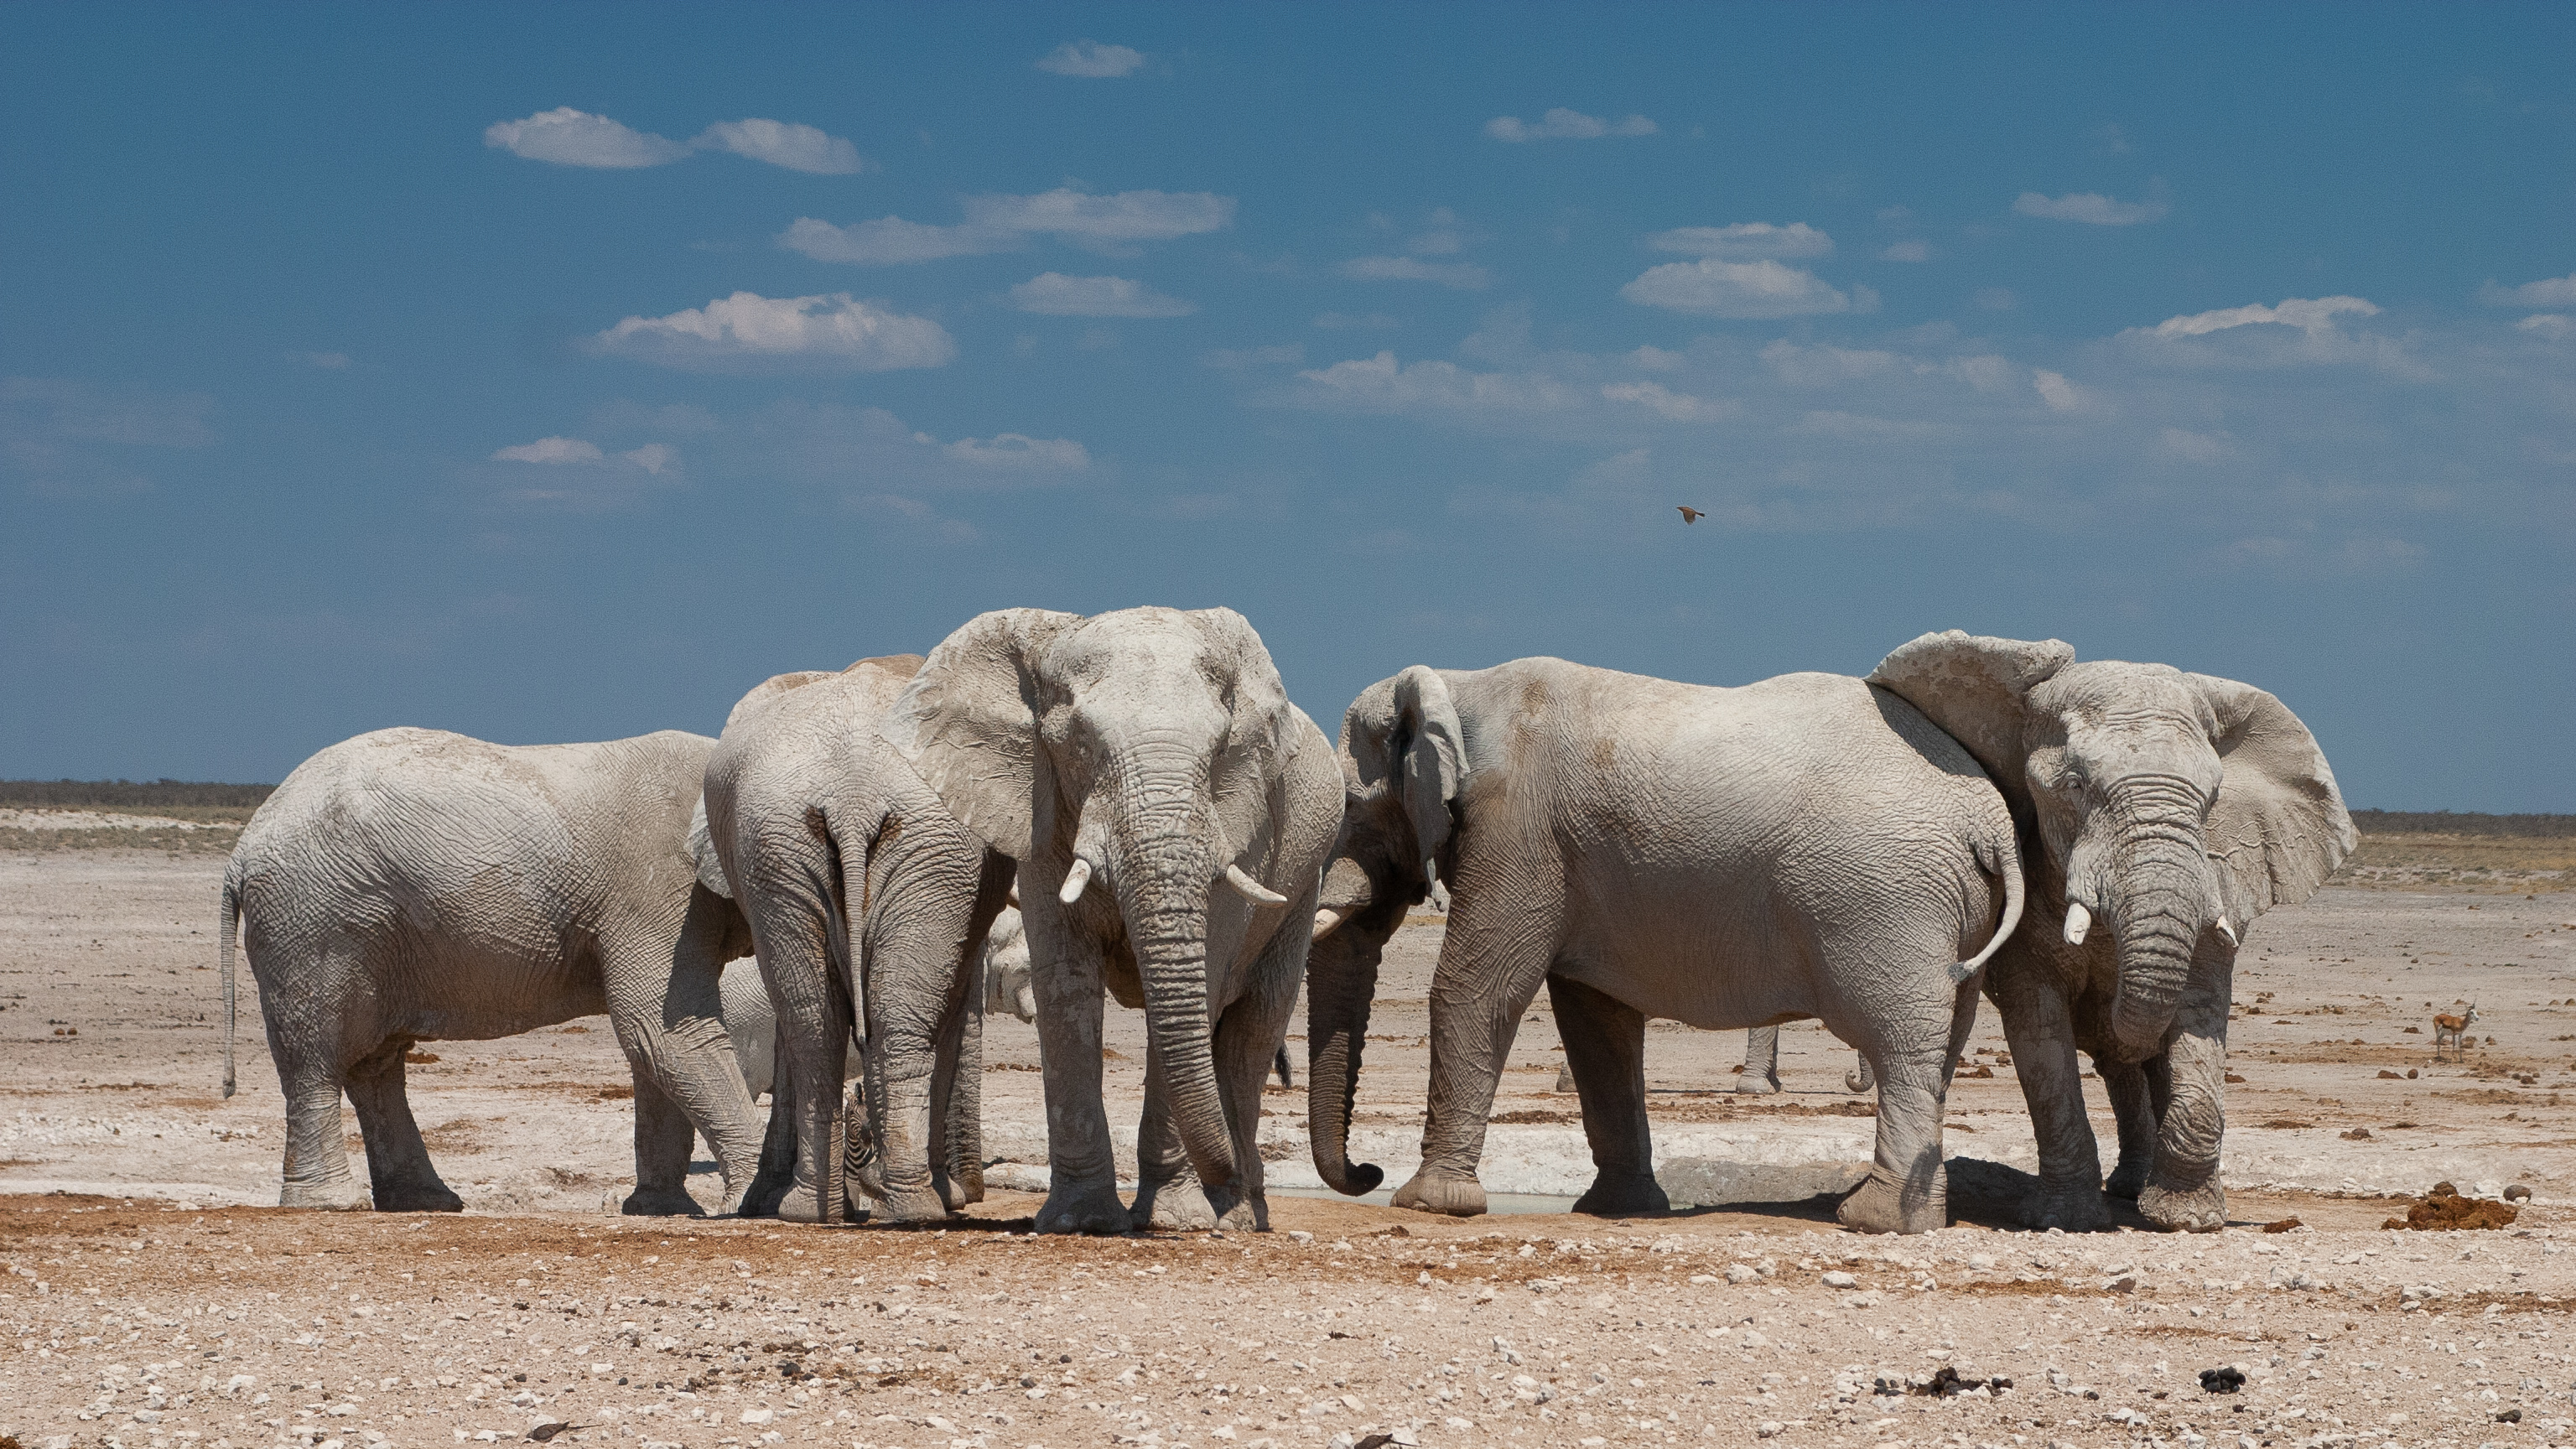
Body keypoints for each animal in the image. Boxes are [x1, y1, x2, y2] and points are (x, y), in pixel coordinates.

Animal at [218, 728, 761, 1214]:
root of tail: (240, 853)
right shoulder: (655, 887)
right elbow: (661, 1030)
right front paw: (746, 1205)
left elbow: (653, 1043)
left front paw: (664, 1210)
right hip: (315, 920)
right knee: (318, 1057)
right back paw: (331, 1204)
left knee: (375, 1062)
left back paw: (425, 1202)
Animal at [696, 655, 1014, 1225]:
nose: (973, 1193)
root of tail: (852, 799)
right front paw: (945, 1197)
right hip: (901, 851)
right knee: (891, 1022)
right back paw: (919, 1206)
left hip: (786, 853)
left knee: (813, 1026)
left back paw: (812, 1210)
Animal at [881, 606, 1344, 1234]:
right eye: (1079, 744)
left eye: (1221, 747)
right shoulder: (1041, 810)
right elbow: (1065, 985)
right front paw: (1082, 1221)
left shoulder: (1243, 827)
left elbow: (1203, 983)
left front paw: (1177, 1220)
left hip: (1302, 882)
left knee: (1254, 1024)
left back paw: (1238, 1214)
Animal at [1305, 658, 2025, 1234]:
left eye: (1350, 810)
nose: (1367, 1171)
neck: (1461, 687)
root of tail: (1990, 822)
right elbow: (1597, 1024)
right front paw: (1617, 1209)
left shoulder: (1519, 832)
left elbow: (1474, 991)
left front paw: (1428, 1204)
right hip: (1944, 905)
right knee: (1942, 1042)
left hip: (1884, 899)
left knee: (1900, 1043)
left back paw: (1873, 1220)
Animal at [1869, 631, 2353, 1232]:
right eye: (2075, 786)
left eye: (2213, 799)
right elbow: (2041, 1034)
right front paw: (2066, 1218)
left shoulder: (2217, 880)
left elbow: (2200, 1015)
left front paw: (2188, 1221)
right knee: (2119, 1070)